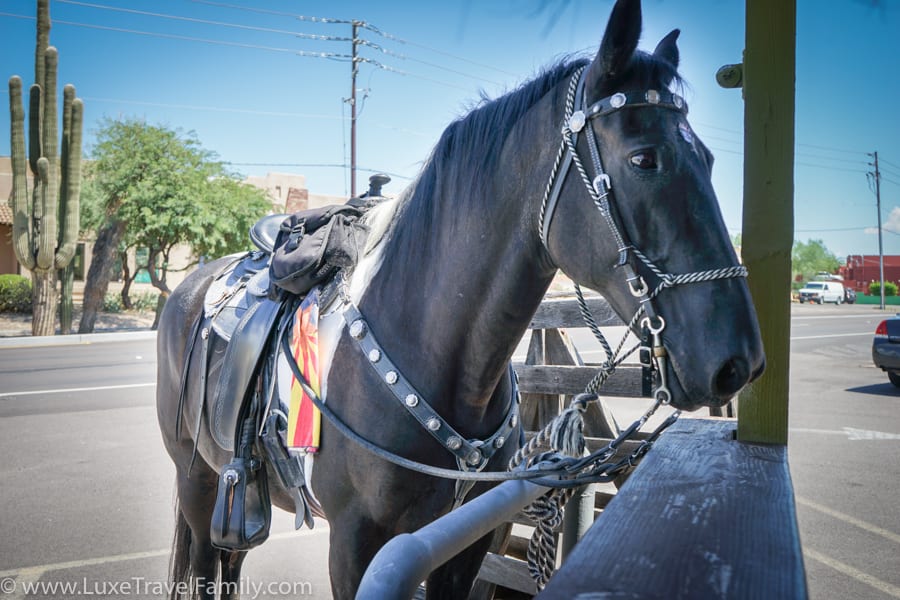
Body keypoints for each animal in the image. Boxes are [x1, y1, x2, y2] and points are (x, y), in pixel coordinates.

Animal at [156, 0, 765, 597]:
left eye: (711, 160)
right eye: (644, 159)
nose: (739, 361)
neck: (430, 357)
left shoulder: (462, 543)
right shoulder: (353, 544)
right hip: (198, 481)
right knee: (204, 563)